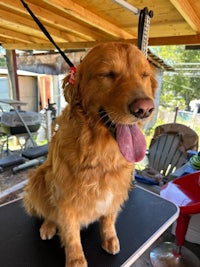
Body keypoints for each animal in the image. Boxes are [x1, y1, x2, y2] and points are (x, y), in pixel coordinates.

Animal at [23, 43, 157, 266]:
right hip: (39, 177)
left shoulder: (116, 188)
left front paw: (110, 238)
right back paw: (48, 225)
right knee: (48, 211)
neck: (101, 151)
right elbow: (70, 232)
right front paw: (76, 259)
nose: (144, 109)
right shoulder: (65, 195)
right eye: (108, 74)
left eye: (144, 75)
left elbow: (109, 219)